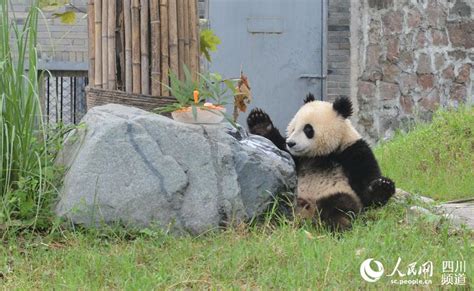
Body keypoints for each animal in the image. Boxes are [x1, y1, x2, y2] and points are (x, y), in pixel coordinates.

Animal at [246, 94, 394, 232]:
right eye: (293, 128)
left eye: (308, 129)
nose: (291, 143)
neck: (319, 155)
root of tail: (305, 215)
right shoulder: (293, 156)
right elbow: (278, 146)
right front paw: (259, 120)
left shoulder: (352, 150)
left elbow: (365, 187)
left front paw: (383, 187)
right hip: (288, 195)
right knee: (274, 205)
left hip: (332, 192)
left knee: (338, 205)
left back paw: (339, 225)